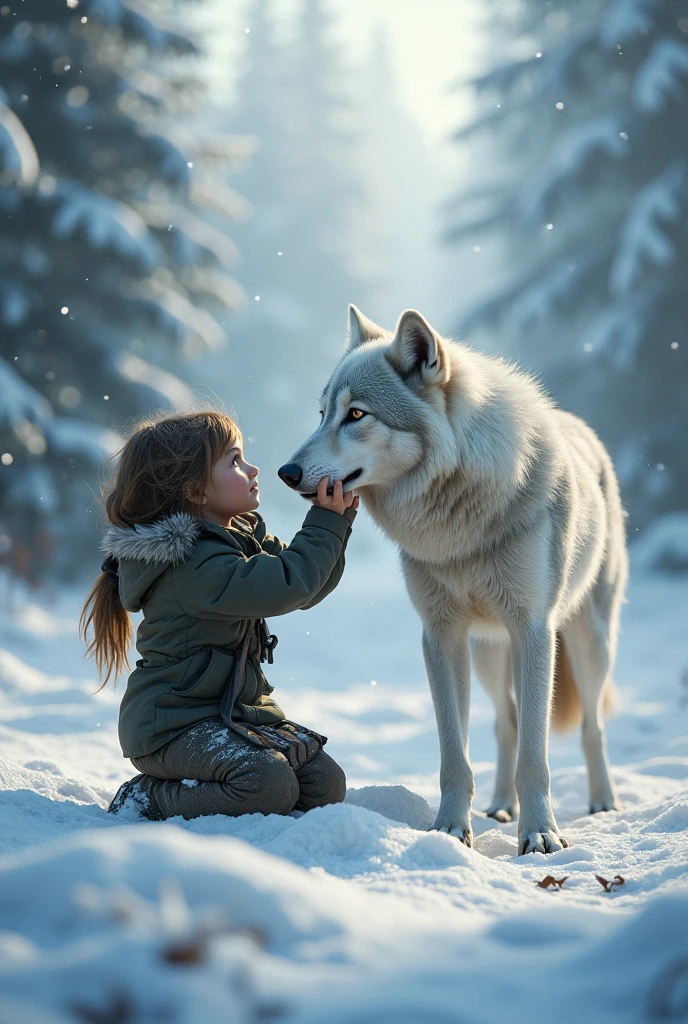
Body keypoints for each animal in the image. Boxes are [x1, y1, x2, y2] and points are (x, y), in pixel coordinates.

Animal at [279, 306, 627, 856]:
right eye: (321, 414)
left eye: (356, 415)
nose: (285, 472)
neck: (458, 524)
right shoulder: (441, 636)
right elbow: (454, 756)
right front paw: (449, 830)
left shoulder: (533, 629)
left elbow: (537, 758)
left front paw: (540, 835)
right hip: (487, 653)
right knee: (505, 722)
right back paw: (501, 807)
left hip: (588, 644)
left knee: (592, 725)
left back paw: (603, 803)